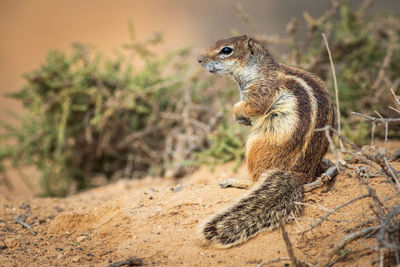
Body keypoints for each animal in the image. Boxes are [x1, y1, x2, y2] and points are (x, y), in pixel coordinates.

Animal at [197, 35, 334, 249]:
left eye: (226, 50)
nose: (199, 60)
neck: (259, 70)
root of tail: (298, 174)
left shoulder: (261, 91)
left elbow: (252, 106)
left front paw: (238, 114)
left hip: (257, 146)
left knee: (254, 181)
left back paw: (236, 182)